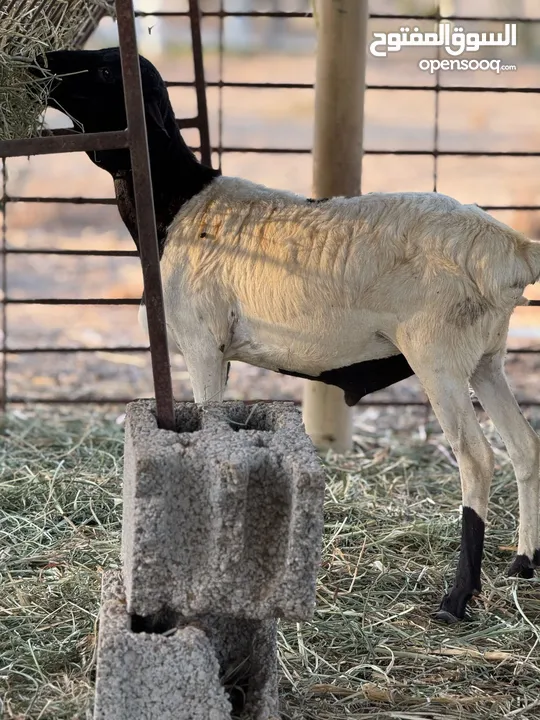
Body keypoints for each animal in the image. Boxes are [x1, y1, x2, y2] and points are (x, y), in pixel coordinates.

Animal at [32, 47, 540, 620]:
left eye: (103, 70)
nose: (40, 63)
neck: (175, 204)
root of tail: (514, 251)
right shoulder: (223, 351)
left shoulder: (203, 344)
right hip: (486, 359)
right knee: (525, 446)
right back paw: (522, 563)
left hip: (440, 357)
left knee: (477, 459)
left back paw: (456, 598)